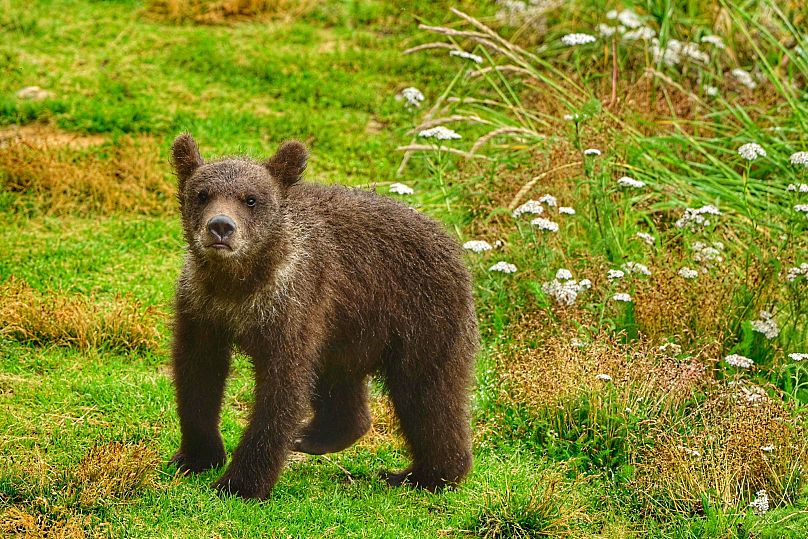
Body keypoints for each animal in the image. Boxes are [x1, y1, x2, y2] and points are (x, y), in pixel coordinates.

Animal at [169, 133, 478, 500]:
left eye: (251, 199)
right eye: (202, 194)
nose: (220, 227)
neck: (238, 284)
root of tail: (455, 247)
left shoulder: (292, 307)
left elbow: (281, 390)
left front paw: (240, 483)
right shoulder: (201, 309)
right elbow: (197, 376)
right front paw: (196, 456)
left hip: (421, 318)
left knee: (427, 395)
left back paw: (424, 474)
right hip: (348, 328)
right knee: (340, 381)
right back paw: (315, 437)